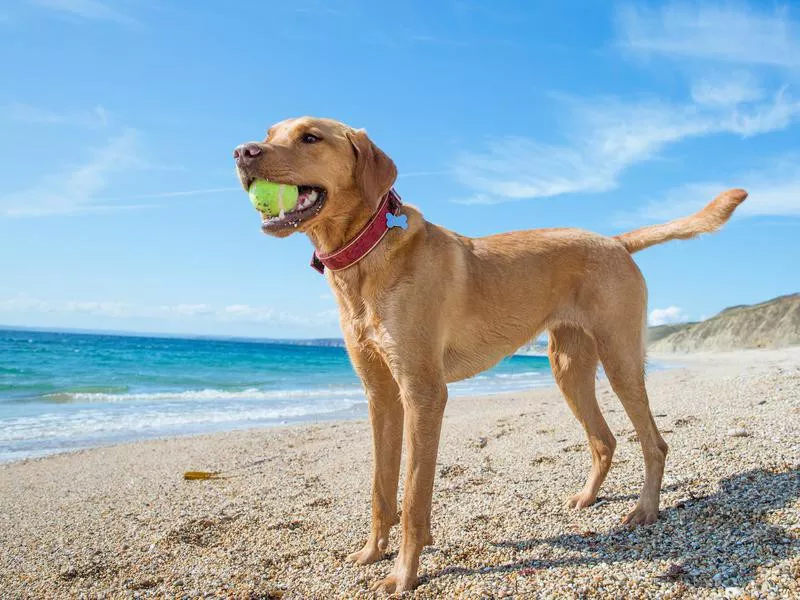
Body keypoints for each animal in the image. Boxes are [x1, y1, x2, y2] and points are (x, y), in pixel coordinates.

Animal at [234, 116, 748, 592]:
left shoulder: (423, 394)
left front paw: (404, 573)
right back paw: (586, 498)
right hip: (567, 368)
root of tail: (616, 240)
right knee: (604, 441)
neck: (367, 254)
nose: (242, 151)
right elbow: (381, 490)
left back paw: (645, 510)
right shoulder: (380, 396)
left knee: (654, 443)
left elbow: (413, 497)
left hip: (620, 360)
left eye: (310, 137)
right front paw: (371, 552)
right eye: (270, 132)